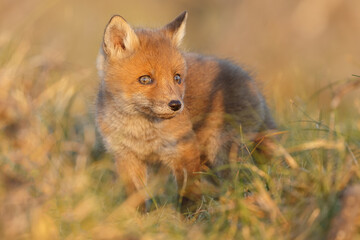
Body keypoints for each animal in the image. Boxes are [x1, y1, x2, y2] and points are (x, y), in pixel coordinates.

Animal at [95, 10, 276, 206]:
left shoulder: (185, 150)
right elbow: (136, 198)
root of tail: (252, 83)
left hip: (222, 152)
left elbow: (188, 193)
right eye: (145, 79)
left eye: (177, 78)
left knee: (241, 181)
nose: (176, 105)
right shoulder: (126, 157)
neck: (141, 132)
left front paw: (189, 214)